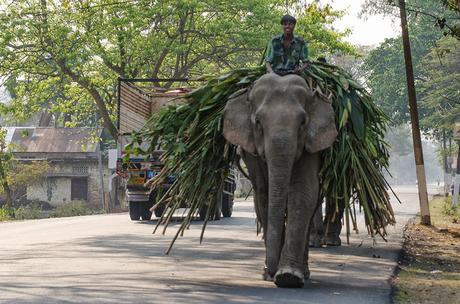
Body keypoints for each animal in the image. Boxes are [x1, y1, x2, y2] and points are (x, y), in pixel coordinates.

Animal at [223, 73, 338, 288]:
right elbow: (264, 194)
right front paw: (271, 274)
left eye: (302, 123)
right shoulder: (251, 149)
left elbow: (302, 193)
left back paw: (304, 272)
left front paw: (288, 276)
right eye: (258, 122)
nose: (269, 270)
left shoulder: (310, 146)